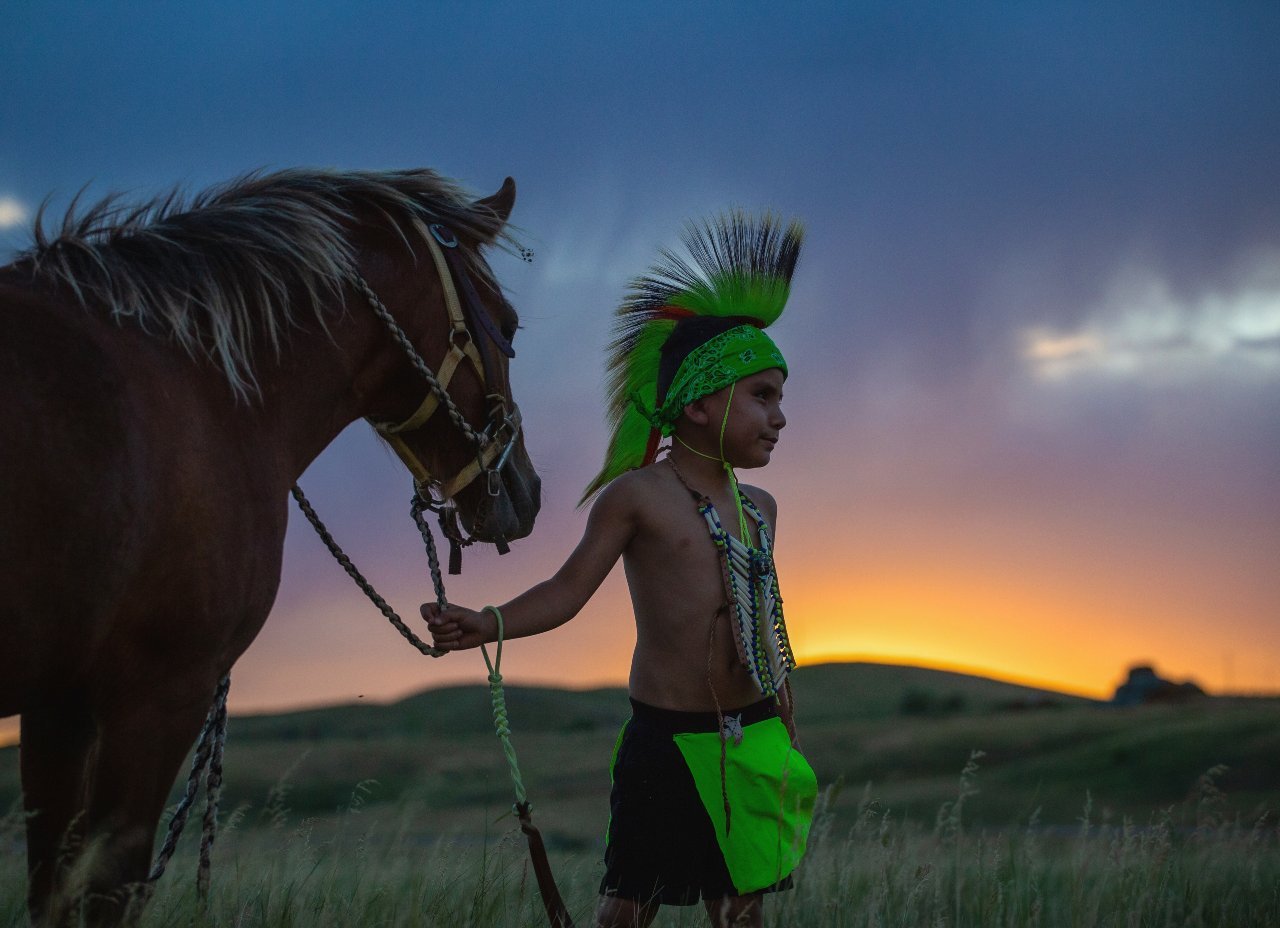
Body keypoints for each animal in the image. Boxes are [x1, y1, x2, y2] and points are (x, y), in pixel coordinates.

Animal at [0, 168, 540, 926]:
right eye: (510, 326)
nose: (527, 491)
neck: (207, 387)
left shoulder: (59, 706)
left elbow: (54, 888)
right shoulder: (160, 691)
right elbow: (110, 890)